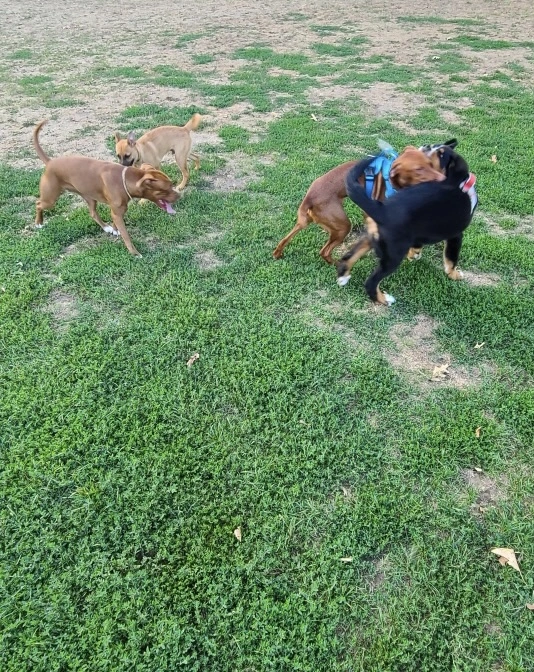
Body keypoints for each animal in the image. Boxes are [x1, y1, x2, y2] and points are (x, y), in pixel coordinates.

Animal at [33, 120, 180, 257]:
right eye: (166, 189)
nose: (179, 196)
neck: (124, 179)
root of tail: (50, 162)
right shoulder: (117, 212)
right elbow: (126, 236)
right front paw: (135, 253)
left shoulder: (118, 210)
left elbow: (116, 221)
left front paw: (114, 229)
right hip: (50, 199)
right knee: (38, 204)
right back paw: (39, 222)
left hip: (89, 197)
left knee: (93, 213)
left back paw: (106, 228)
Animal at [272, 147, 444, 264]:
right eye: (418, 169)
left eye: (430, 164)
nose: (442, 179)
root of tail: (309, 197)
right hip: (343, 226)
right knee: (324, 251)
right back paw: (337, 264)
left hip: (308, 221)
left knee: (288, 238)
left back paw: (278, 253)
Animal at [337, 145, 477, 305]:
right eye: (440, 154)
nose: (427, 146)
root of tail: (383, 209)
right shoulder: (456, 235)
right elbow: (451, 259)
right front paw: (454, 274)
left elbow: (418, 245)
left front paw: (414, 254)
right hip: (393, 255)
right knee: (371, 282)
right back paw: (384, 299)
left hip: (371, 237)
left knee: (348, 257)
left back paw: (343, 277)